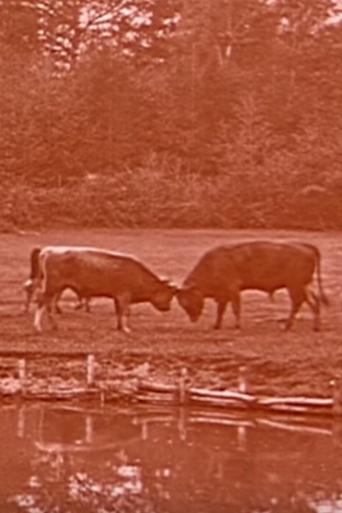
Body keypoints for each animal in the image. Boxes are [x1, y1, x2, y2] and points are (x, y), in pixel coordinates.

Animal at [31, 245, 176, 332]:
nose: (167, 308)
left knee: (49, 305)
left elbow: (118, 312)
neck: (137, 274)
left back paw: (54, 326)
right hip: (51, 287)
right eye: (169, 293)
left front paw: (119, 327)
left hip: (57, 289)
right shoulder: (124, 296)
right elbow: (125, 312)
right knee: (41, 302)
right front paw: (126, 329)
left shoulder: (117, 297)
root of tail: (47, 250)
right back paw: (38, 327)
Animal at [176, 241, 328, 332]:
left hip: (295, 286)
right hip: (304, 286)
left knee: (298, 302)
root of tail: (306, 246)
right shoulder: (223, 294)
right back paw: (315, 327)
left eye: (187, 300)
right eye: (182, 302)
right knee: (313, 301)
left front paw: (237, 326)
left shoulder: (232, 289)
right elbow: (221, 310)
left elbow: (235, 308)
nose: (193, 319)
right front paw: (216, 325)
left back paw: (287, 326)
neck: (213, 265)